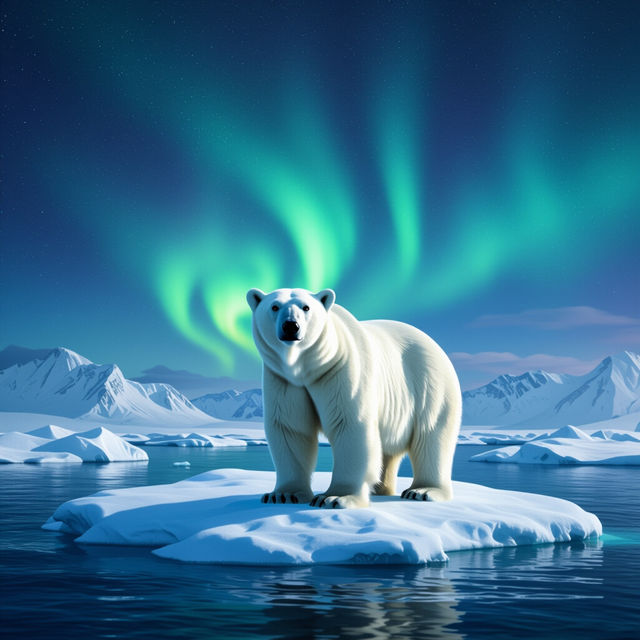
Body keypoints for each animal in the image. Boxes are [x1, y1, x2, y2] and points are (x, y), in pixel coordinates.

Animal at [246, 287, 462, 508]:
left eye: (306, 307)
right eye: (274, 306)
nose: (291, 326)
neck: (307, 369)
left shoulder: (340, 369)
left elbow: (349, 425)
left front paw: (334, 497)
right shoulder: (285, 381)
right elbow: (291, 430)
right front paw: (283, 494)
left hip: (430, 385)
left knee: (432, 435)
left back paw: (422, 490)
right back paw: (380, 489)